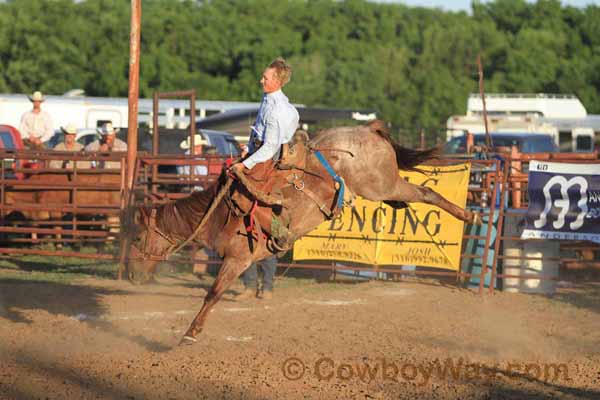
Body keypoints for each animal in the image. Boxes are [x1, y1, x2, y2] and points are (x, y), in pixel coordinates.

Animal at [126, 120, 478, 346]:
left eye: (139, 238)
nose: (130, 275)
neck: (221, 212)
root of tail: (367, 129)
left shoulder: (238, 259)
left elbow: (212, 293)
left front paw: (189, 333)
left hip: (382, 184)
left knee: (425, 193)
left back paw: (468, 214)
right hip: (382, 190)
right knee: (409, 199)